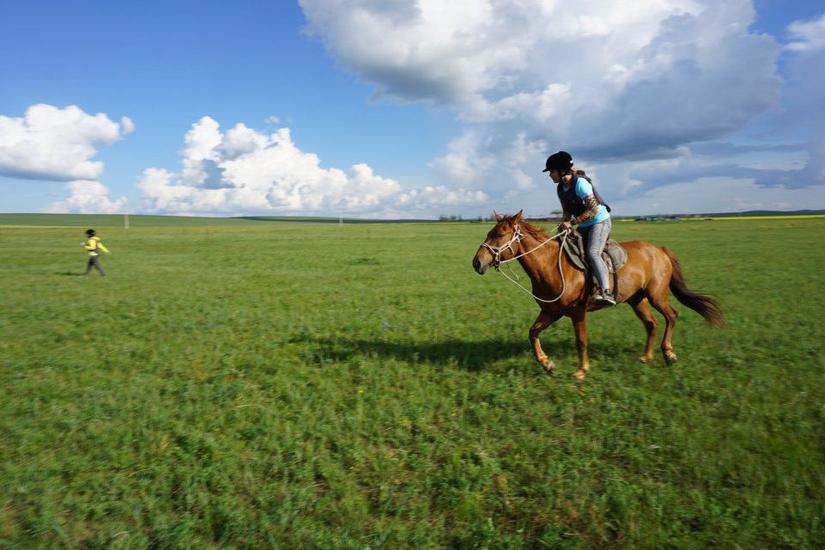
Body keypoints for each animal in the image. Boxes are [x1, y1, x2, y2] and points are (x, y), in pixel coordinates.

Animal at [470, 209, 720, 382]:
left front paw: (581, 371)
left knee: (672, 316)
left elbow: (581, 340)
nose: (477, 263)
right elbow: (532, 333)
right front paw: (547, 364)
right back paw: (646, 357)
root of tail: (659, 250)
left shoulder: (577, 312)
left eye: (499, 234)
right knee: (652, 323)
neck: (551, 265)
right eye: (489, 232)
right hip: (637, 300)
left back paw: (669, 354)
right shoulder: (551, 311)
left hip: (656, 295)